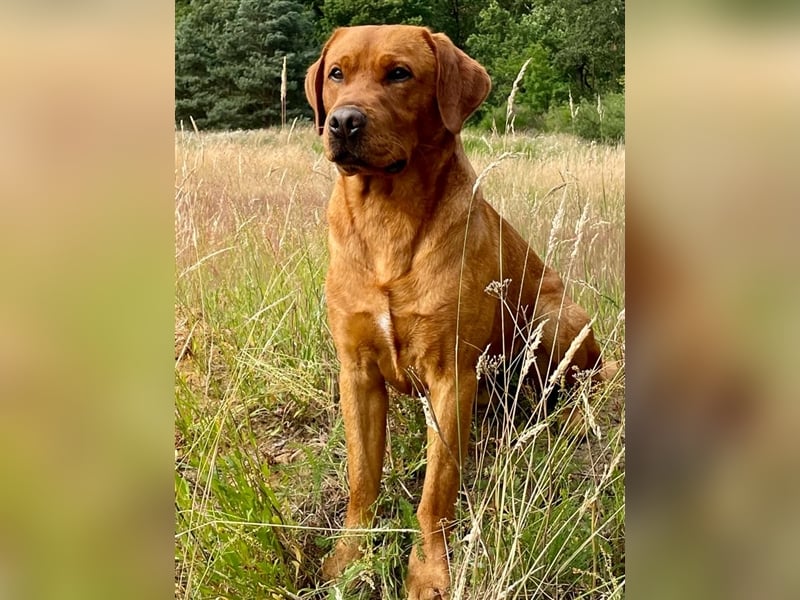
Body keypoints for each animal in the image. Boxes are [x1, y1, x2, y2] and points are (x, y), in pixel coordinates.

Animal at [304, 24, 600, 600]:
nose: (343, 121)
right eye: (337, 73)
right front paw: (349, 557)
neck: (387, 216)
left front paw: (428, 572)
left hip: (555, 317)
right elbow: (361, 477)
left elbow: (436, 491)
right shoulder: (357, 371)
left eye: (399, 73)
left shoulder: (451, 375)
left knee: (592, 379)